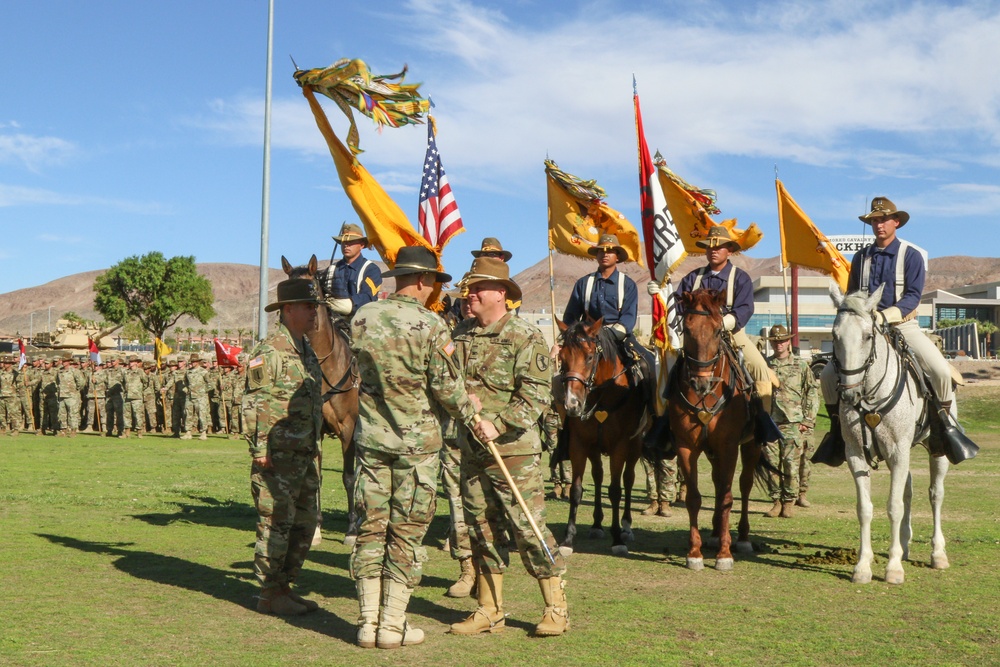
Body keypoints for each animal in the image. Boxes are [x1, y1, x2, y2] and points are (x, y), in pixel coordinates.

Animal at [280, 258, 362, 548]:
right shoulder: (314, 431)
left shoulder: (349, 429)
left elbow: (348, 477)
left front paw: (351, 531)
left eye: (311, 289)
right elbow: (316, 476)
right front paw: (315, 529)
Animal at [556, 318, 648, 560]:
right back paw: (597, 524)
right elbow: (576, 490)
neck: (601, 396)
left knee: (628, 478)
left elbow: (615, 490)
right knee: (597, 475)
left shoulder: (620, 446)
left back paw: (626, 527)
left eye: (589, 357)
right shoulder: (579, 444)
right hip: (594, 448)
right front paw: (568, 539)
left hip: (634, 446)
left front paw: (617, 539)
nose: (572, 404)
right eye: (562, 357)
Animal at [672, 290, 764, 572]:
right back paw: (713, 534)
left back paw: (742, 538)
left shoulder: (729, 447)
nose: (700, 383)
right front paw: (695, 552)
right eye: (687, 329)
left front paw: (725, 554)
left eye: (716, 331)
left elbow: (726, 497)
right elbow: (694, 497)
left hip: (751, 445)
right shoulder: (686, 446)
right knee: (716, 479)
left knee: (744, 485)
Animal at [832, 284, 948, 588]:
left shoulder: (898, 452)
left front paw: (894, 568)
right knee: (908, 489)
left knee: (935, 494)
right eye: (835, 336)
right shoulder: (856, 454)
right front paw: (862, 566)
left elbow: (893, 506)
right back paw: (905, 545)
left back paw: (938, 553)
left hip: (937, 449)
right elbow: (865, 508)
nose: (849, 394)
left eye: (867, 336)